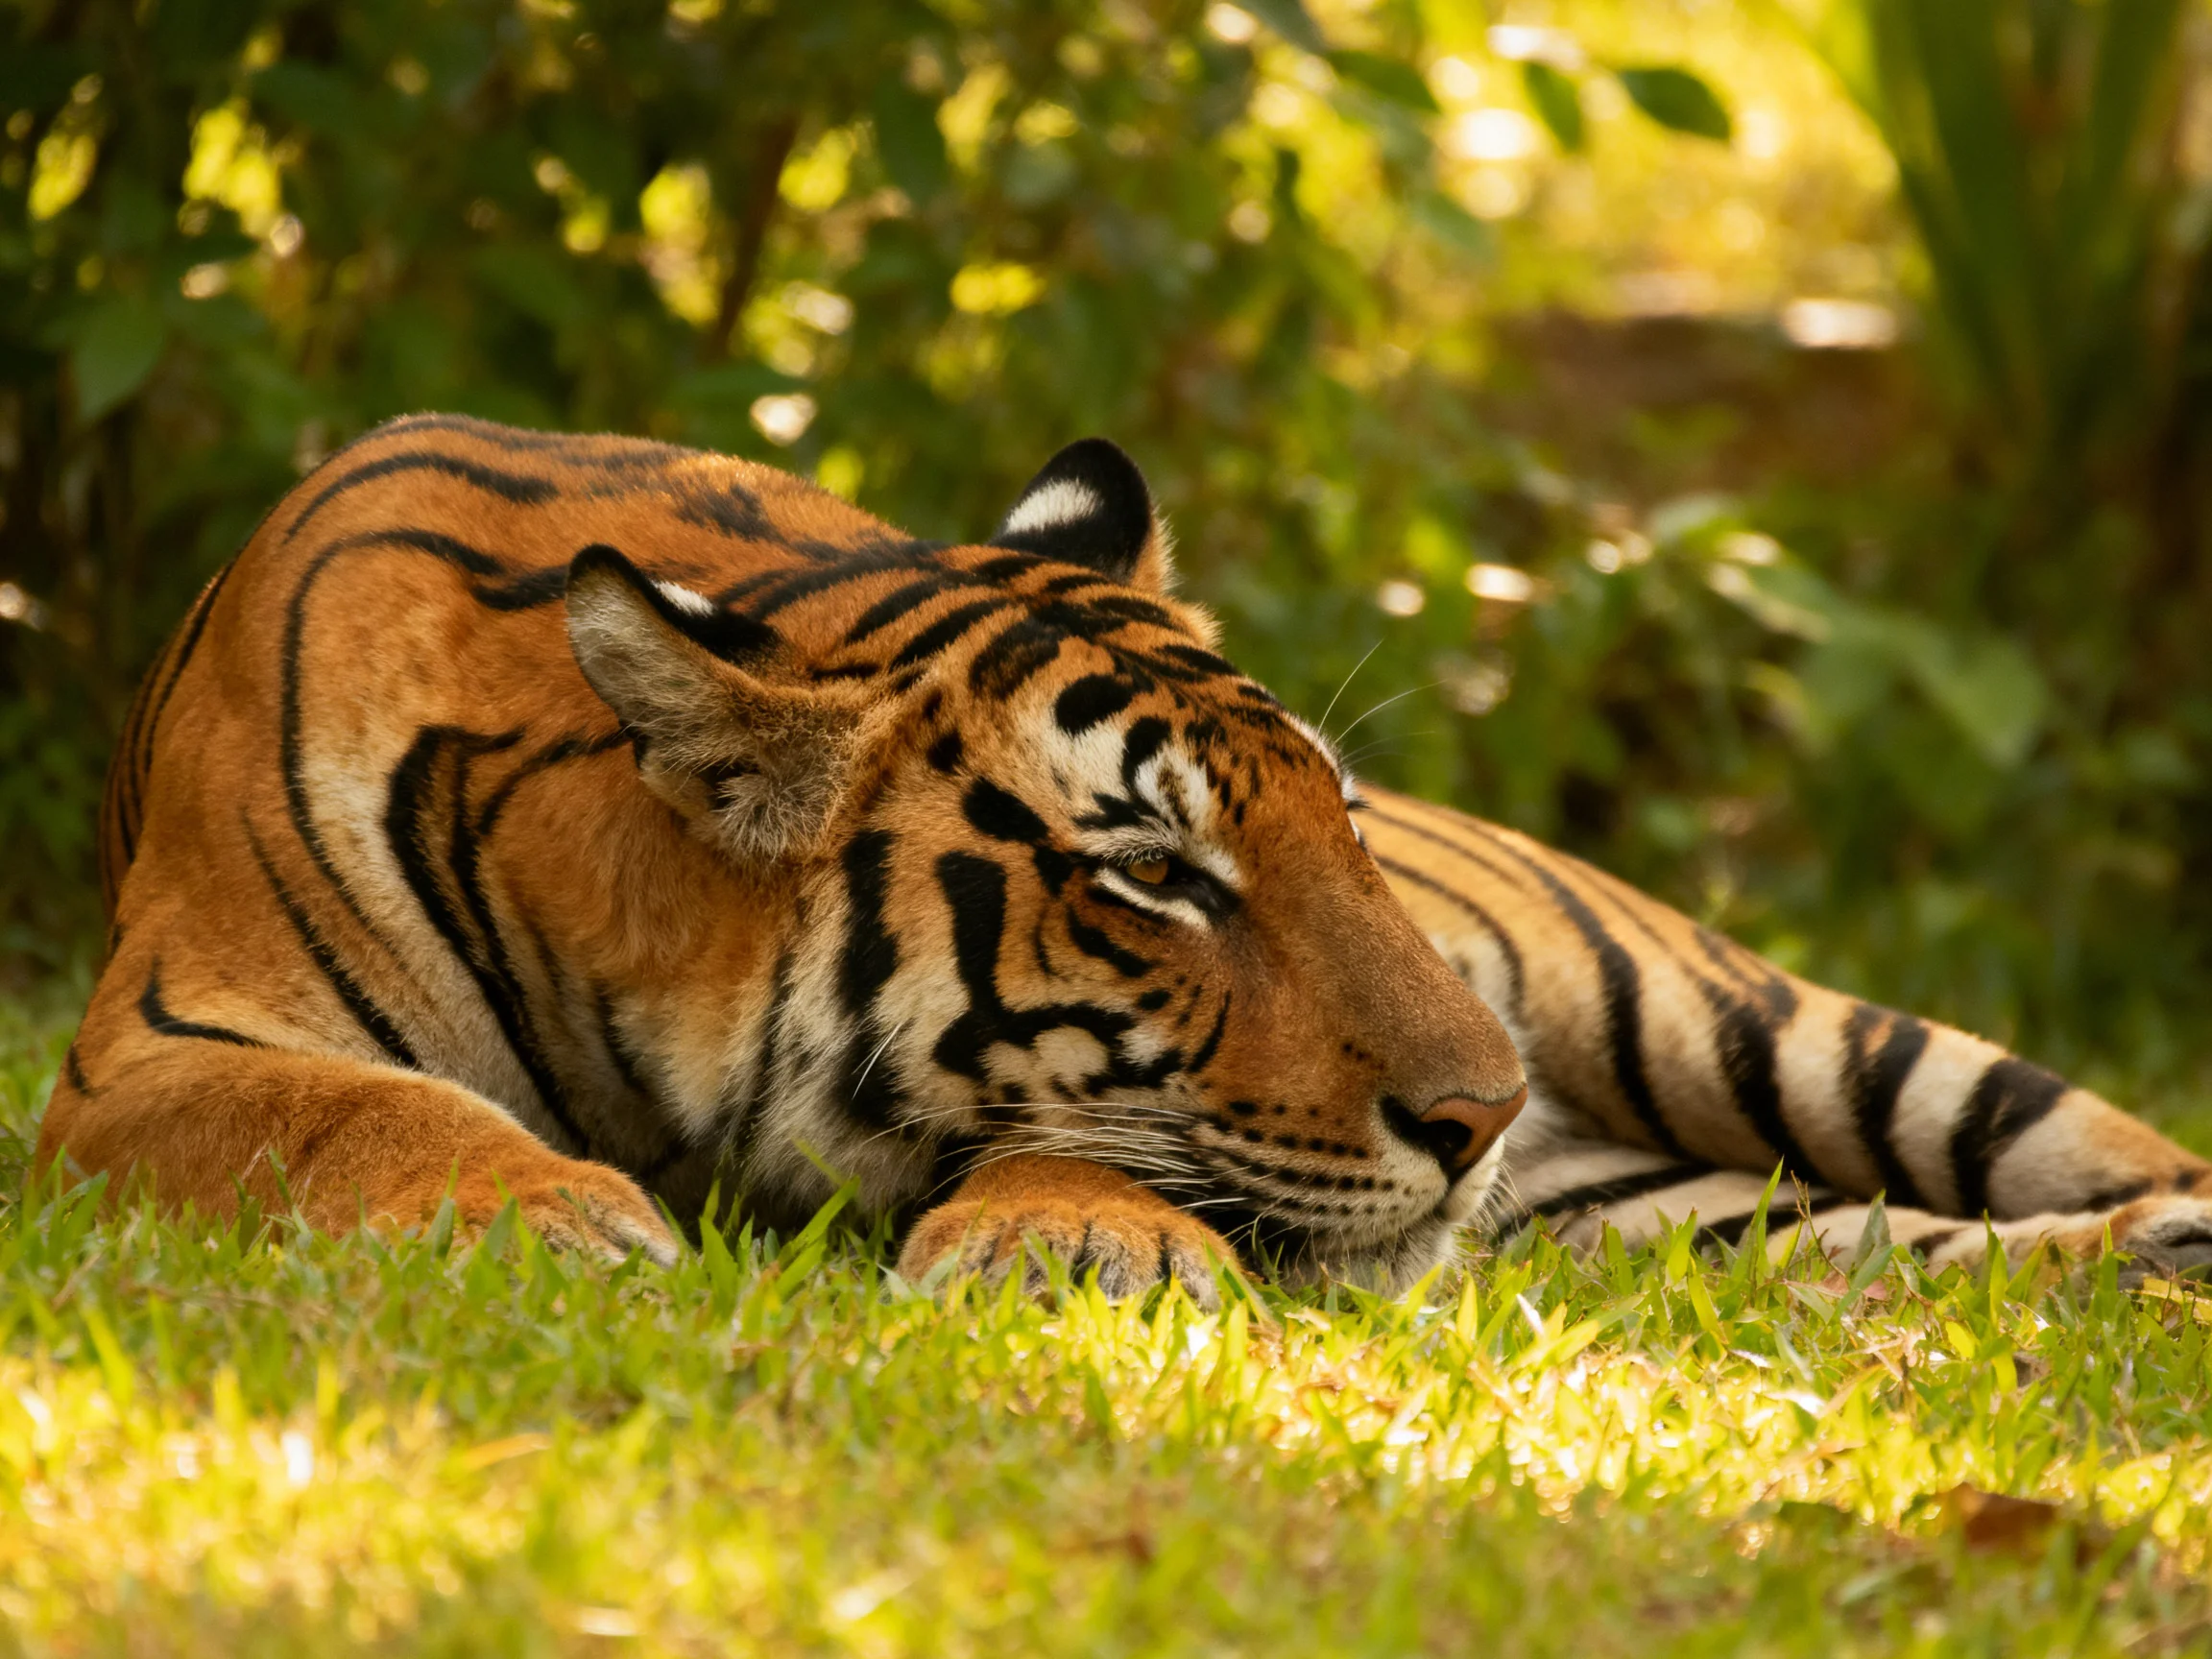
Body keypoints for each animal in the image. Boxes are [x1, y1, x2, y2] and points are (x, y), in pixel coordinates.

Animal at [38, 415, 2212, 1307]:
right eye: (1159, 876)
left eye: (1341, 825)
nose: (1480, 1111)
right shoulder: (142, 1054)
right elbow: (345, 1109)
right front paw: (542, 1213)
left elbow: (1107, 1141)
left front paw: (1077, 1238)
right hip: (1648, 1206)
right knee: (1874, 1248)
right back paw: (2138, 1269)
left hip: (1766, 1030)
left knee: (2086, 1149)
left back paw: (2164, 1235)